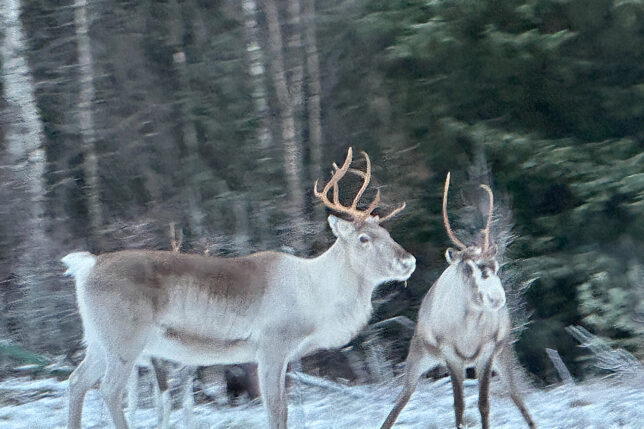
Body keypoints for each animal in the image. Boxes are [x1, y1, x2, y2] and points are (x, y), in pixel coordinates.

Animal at [61, 147, 416, 429]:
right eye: (364, 238)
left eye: (388, 234)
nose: (408, 261)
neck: (315, 296)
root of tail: (86, 266)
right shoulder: (272, 344)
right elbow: (277, 411)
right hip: (125, 338)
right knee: (108, 389)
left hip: (98, 339)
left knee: (76, 382)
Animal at [379, 173, 535, 429]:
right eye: (468, 267)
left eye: (495, 265)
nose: (496, 298)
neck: (468, 328)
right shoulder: (451, 355)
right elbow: (459, 405)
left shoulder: (487, 353)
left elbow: (484, 404)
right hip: (420, 355)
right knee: (402, 398)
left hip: (503, 355)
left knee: (517, 396)